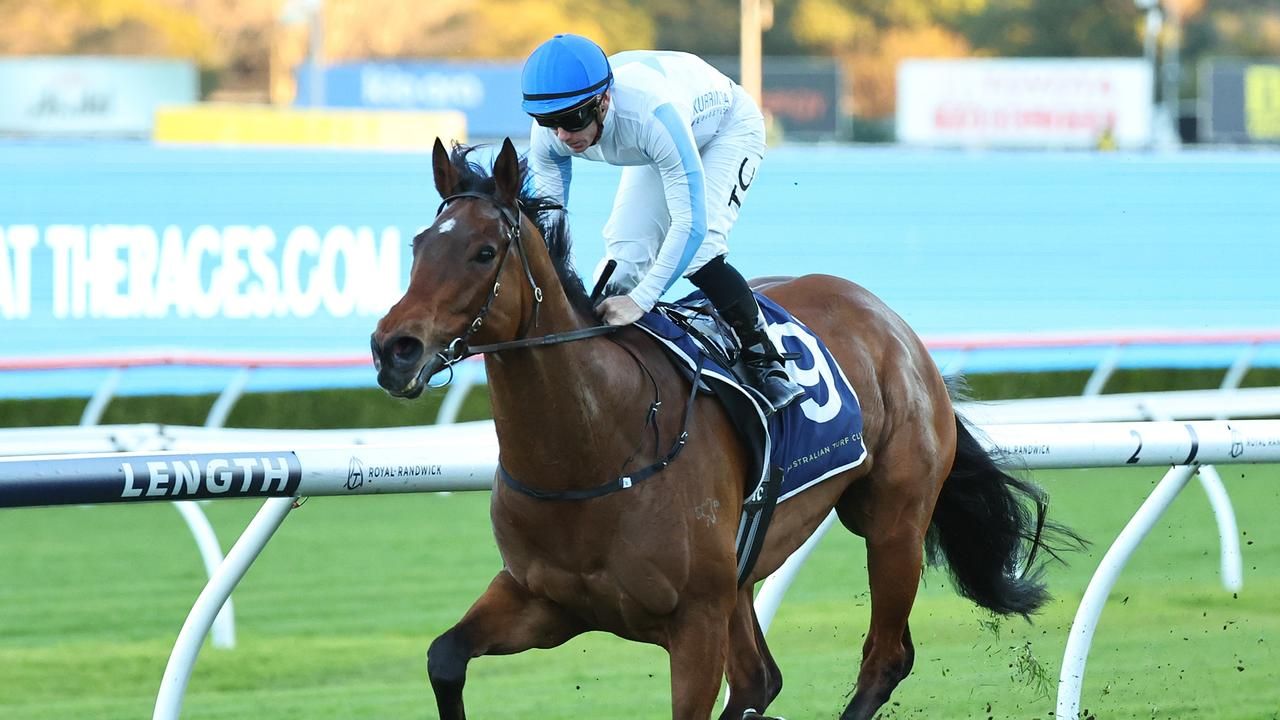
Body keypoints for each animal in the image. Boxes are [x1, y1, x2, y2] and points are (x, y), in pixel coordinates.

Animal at [370, 138, 1081, 720]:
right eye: (418, 246)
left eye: (484, 251)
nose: (393, 349)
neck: (594, 447)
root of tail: (891, 321)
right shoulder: (541, 600)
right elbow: (443, 657)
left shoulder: (695, 624)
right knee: (762, 681)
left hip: (893, 522)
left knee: (884, 659)